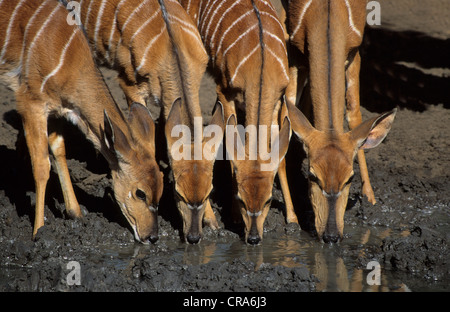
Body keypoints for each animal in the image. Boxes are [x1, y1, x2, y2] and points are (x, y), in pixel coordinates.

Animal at [0, 0, 164, 243]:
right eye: (140, 193)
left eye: (161, 188)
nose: (152, 237)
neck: (68, 59)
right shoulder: (30, 103)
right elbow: (41, 166)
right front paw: (38, 230)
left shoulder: (56, 110)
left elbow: (59, 150)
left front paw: (75, 213)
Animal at [75, 0, 227, 244]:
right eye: (177, 192)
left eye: (209, 192)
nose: (193, 237)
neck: (171, 47)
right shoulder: (128, 84)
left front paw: (212, 222)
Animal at [182, 0, 292, 244]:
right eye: (241, 199)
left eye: (269, 200)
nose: (253, 238)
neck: (260, 65)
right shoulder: (225, 91)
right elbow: (231, 150)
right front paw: (231, 216)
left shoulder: (278, 98)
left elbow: (279, 159)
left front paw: (293, 218)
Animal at [282, 0, 398, 243]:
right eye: (313, 176)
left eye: (350, 178)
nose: (331, 236)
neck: (326, 16)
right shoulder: (295, 50)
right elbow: (286, 111)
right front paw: (292, 216)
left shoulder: (354, 52)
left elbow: (354, 114)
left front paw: (370, 198)